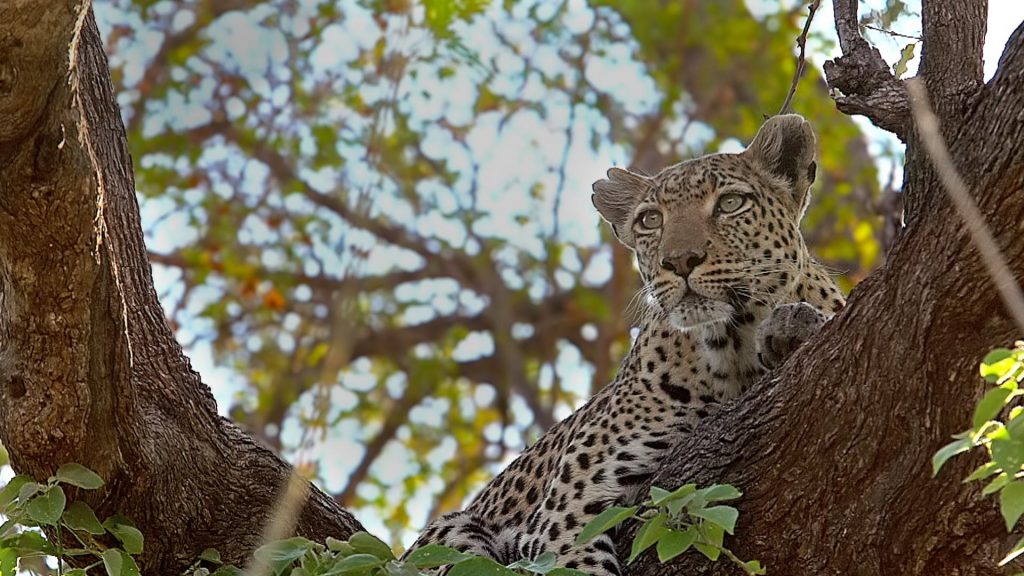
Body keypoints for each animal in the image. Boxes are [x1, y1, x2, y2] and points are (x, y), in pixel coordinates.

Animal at [403, 114, 843, 569]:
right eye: (650, 221)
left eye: (730, 203)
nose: (679, 261)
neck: (731, 347)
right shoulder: (567, 509)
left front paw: (791, 326)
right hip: (450, 532)